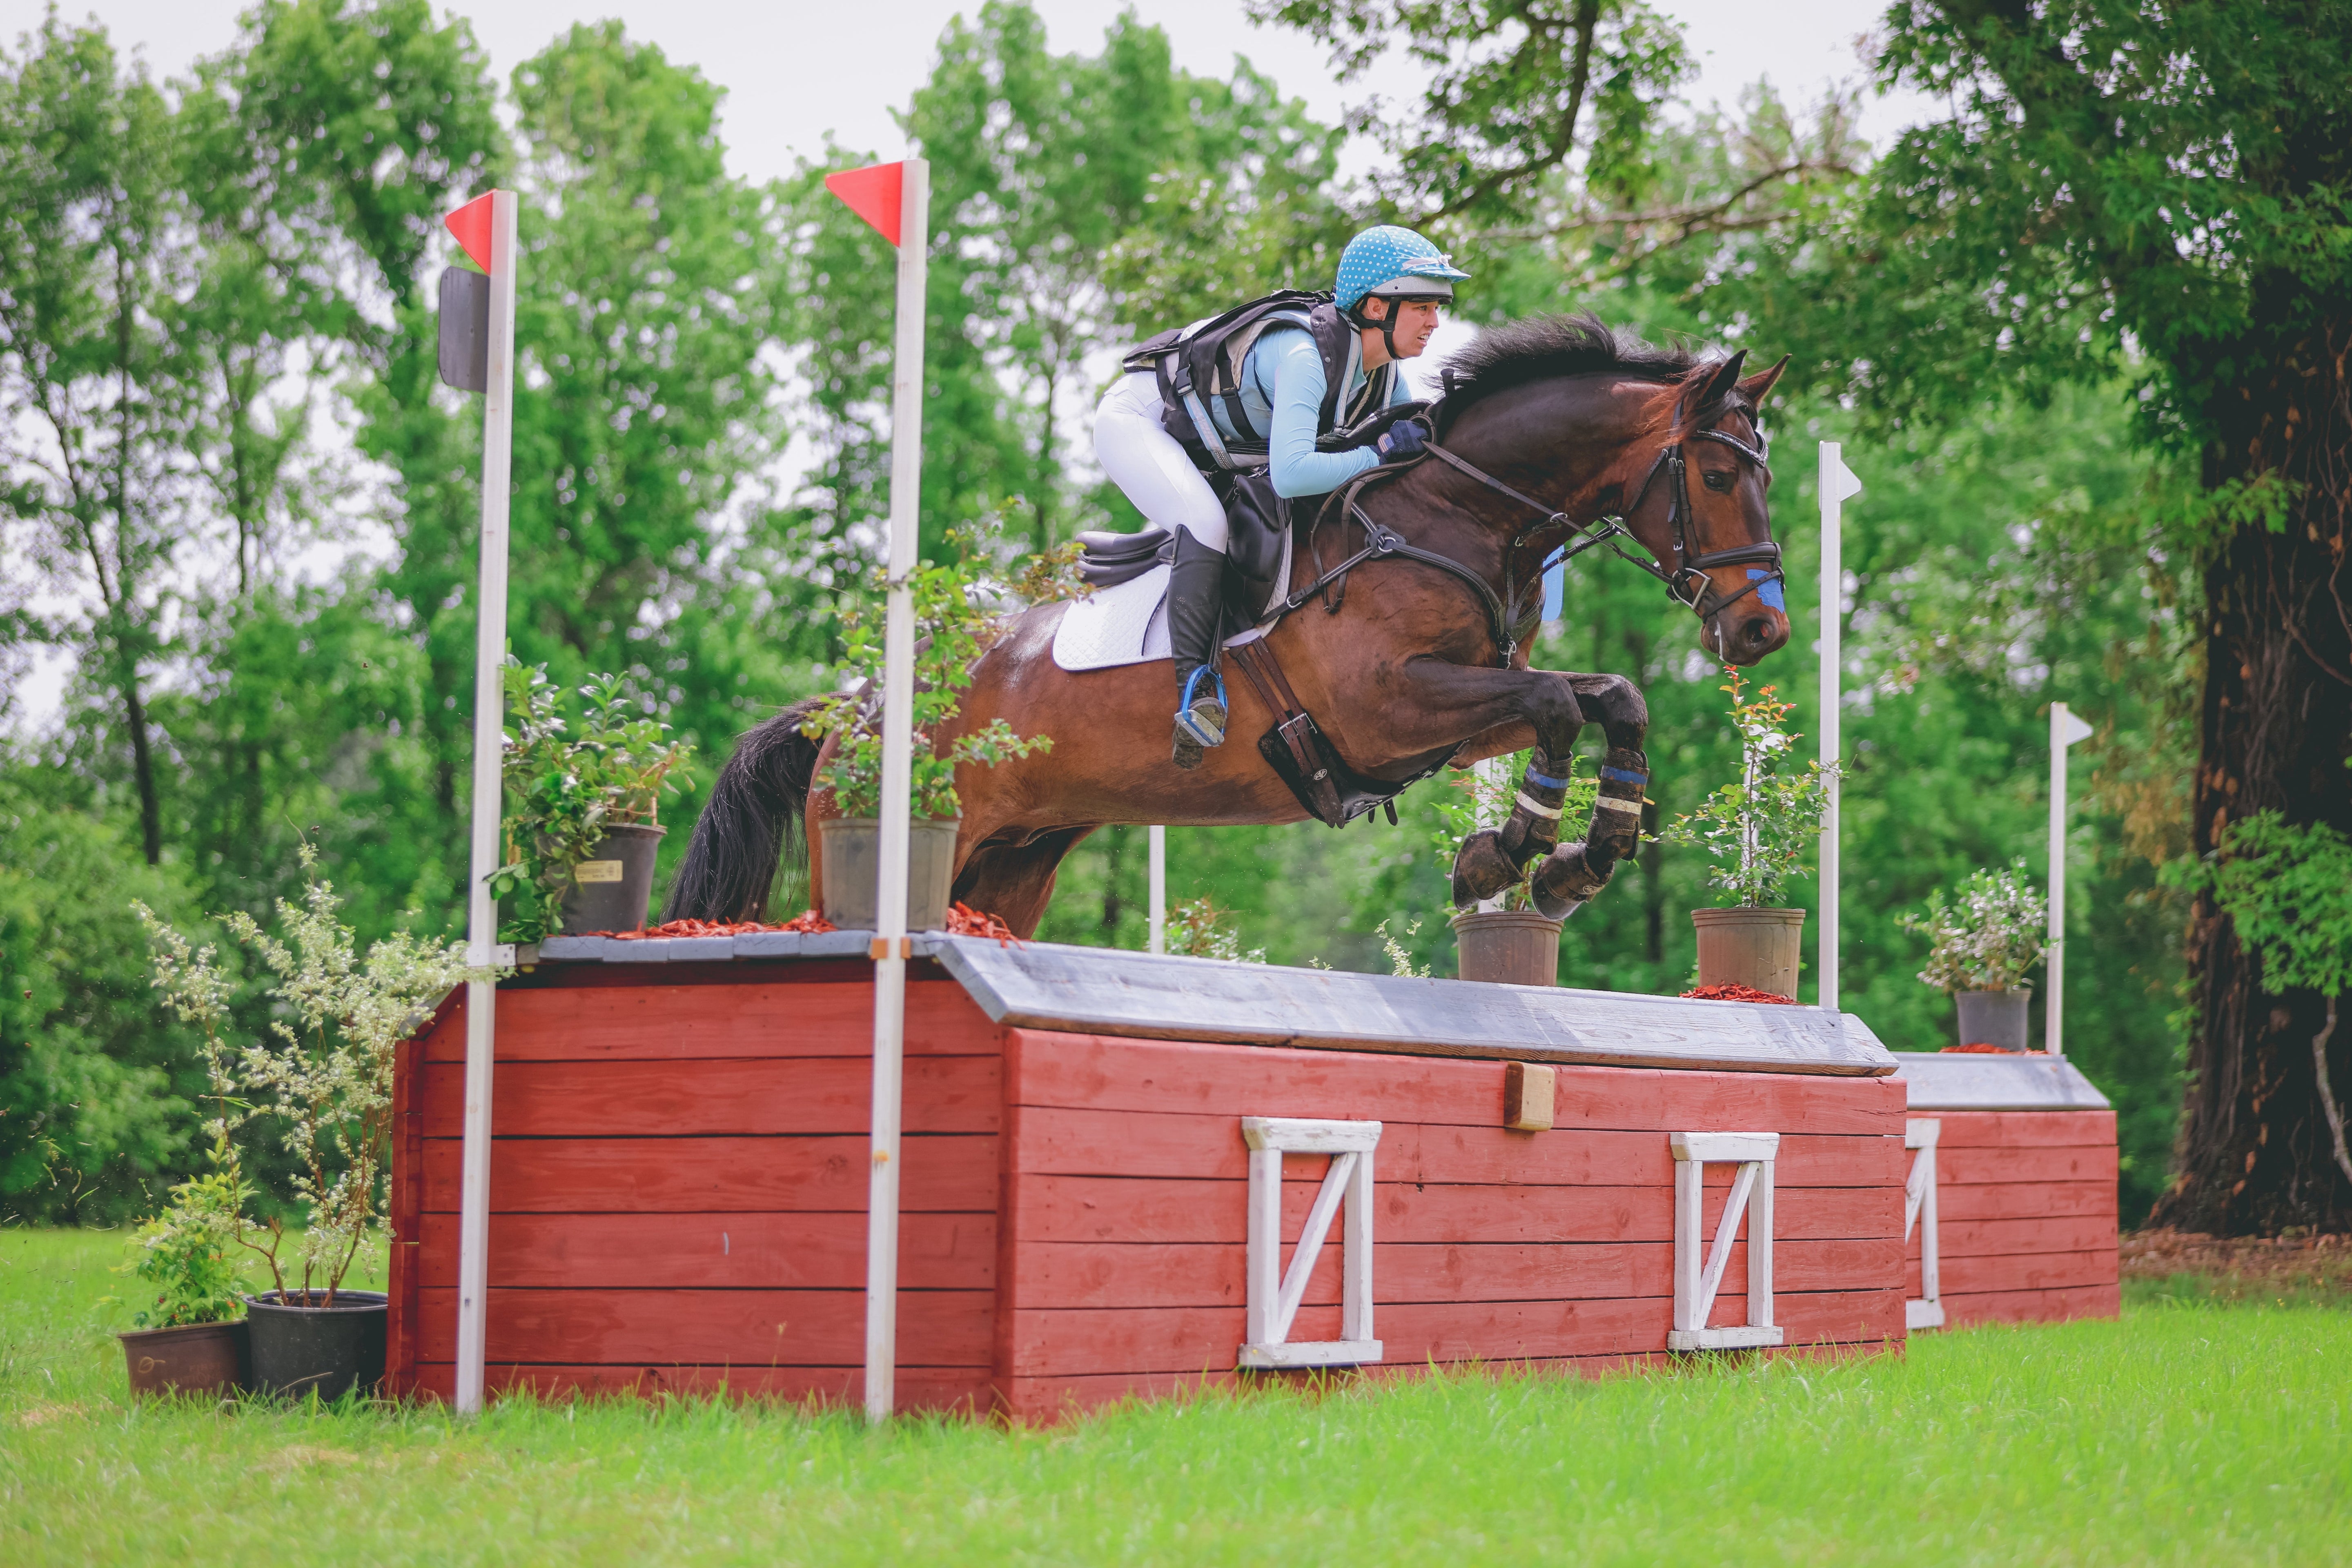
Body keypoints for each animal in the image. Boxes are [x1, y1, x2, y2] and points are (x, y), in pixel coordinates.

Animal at [673, 312, 1787, 940]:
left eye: (1764, 478)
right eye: (1716, 476)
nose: (1763, 632)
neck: (1451, 511)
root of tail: (850, 709)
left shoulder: (1460, 713)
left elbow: (1608, 699)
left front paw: (1577, 860)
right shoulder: (1388, 706)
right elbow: (1560, 701)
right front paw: (1505, 856)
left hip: (1007, 864)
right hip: (885, 841)